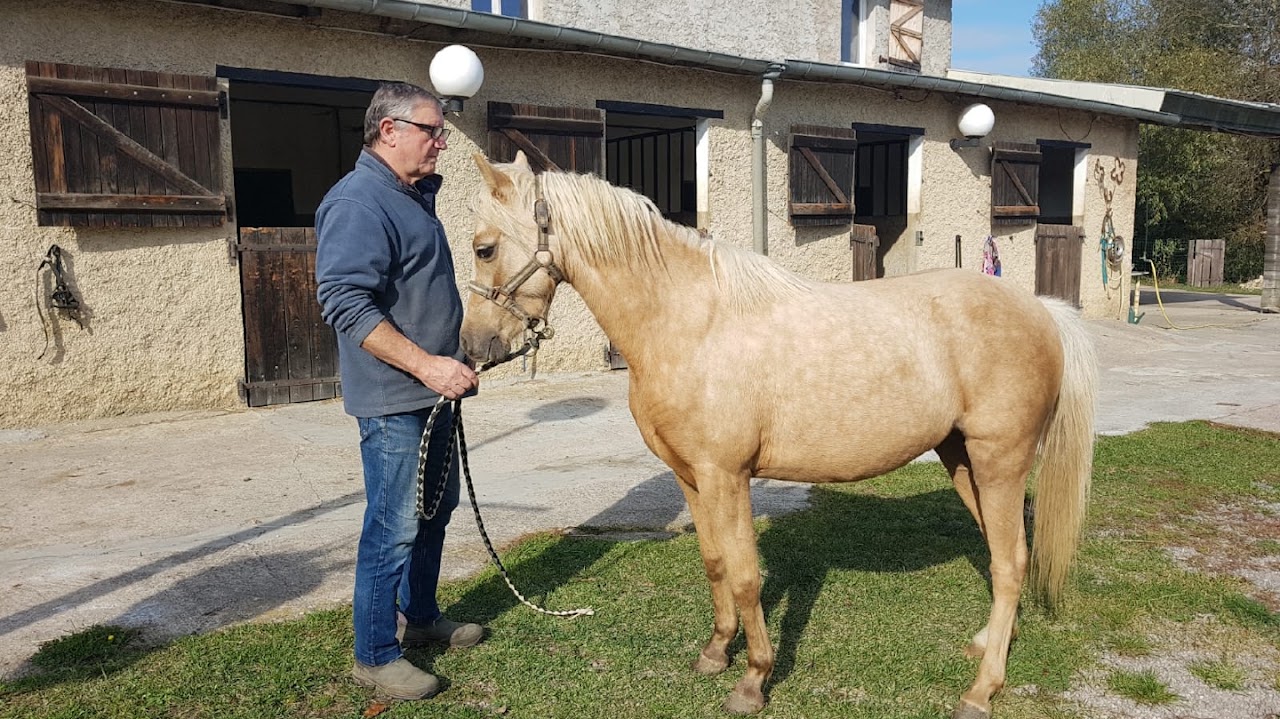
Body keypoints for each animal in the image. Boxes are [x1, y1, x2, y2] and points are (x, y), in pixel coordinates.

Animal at [460, 151, 1097, 719]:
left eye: (483, 247)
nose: (473, 347)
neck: (690, 322)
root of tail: (1041, 310)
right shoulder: (691, 478)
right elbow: (715, 563)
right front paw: (717, 652)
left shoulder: (727, 476)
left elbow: (746, 578)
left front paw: (753, 680)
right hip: (962, 460)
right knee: (1002, 555)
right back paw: (987, 646)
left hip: (1000, 462)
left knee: (1010, 564)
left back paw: (981, 691)